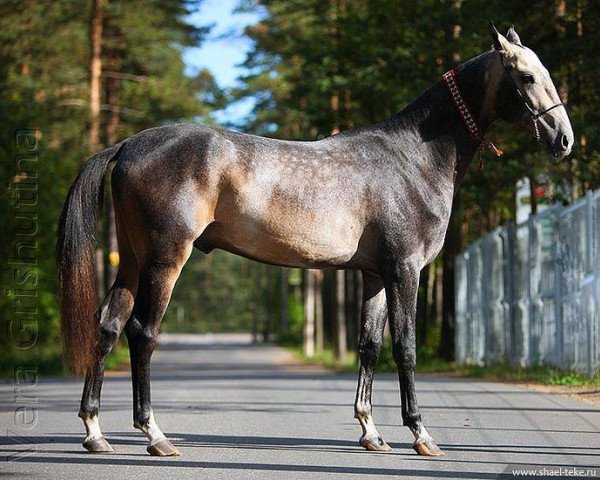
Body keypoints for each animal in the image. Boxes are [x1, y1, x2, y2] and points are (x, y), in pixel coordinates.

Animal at [58, 23, 576, 458]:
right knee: (142, 333)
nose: (565, 141)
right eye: (527, 77)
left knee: (108, 326)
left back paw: (95, 433)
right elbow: (405, 348)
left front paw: (371, 433)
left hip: (132, 259)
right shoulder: (405, 271)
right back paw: (155, 436)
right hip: (165, 260)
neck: (413, 158)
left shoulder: (374, 275)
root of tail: (128, 144)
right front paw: (420, 434)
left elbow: (368, 347)